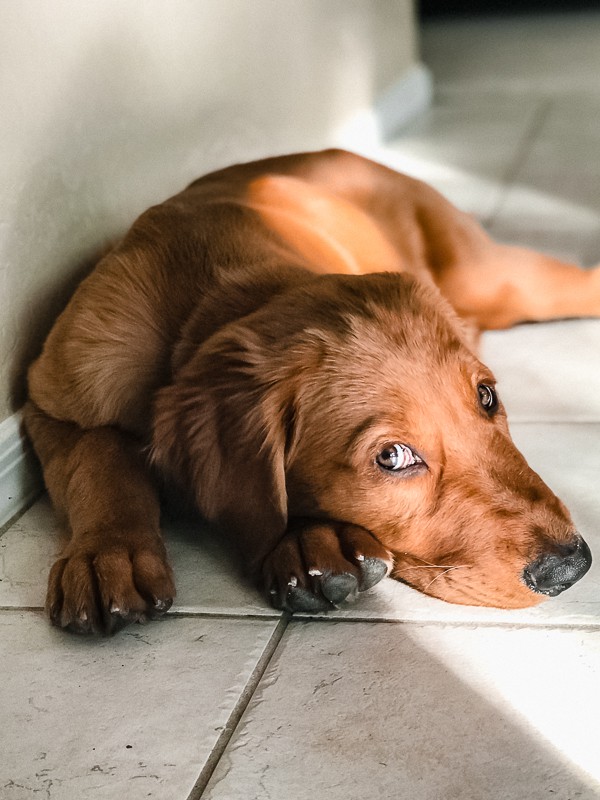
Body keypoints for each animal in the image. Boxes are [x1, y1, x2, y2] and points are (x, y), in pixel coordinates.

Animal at [24, 150, 596, 636]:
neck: (206, 293)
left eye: (486, 398)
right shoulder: (49, 402)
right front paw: (108, 554)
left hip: (495, 281)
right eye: (392, 456)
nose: (571, 567)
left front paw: (310, 541)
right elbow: (98, 455)